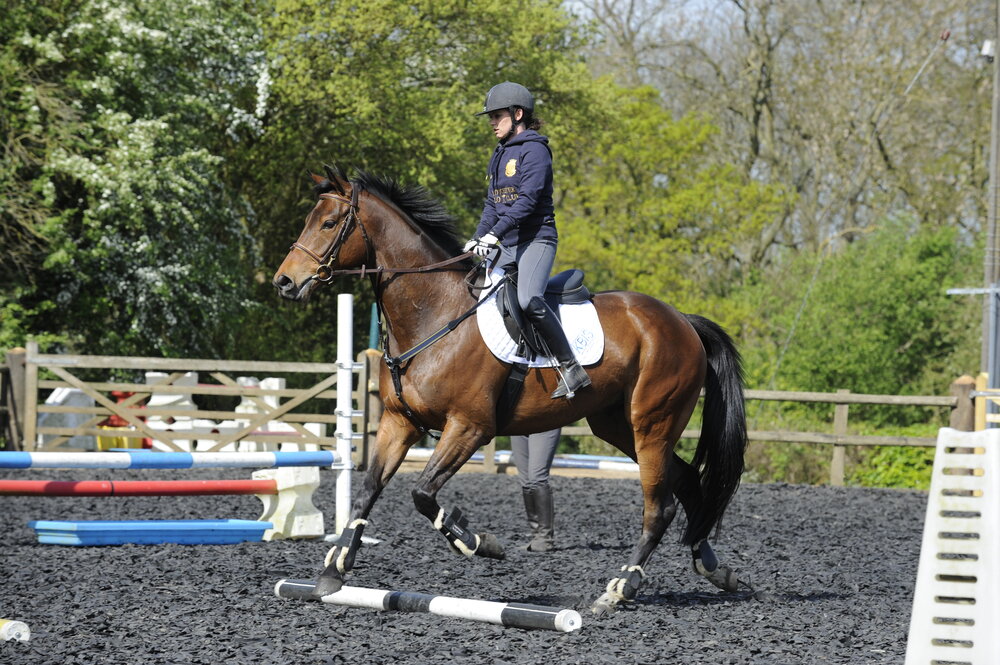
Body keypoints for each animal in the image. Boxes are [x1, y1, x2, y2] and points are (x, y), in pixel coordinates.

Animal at [272, 165, 749, 615]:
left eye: (329, 223)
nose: (284, 282)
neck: (433, 312)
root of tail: (682, 321)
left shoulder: (470, 427)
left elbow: (423, 493)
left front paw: (479, 542)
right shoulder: (399, 423)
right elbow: (368, 491)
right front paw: (333, 571)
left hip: (651, 425)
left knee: (659, 507)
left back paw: (619, 588)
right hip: (618, 426)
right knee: (687, 483)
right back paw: (713, 568)